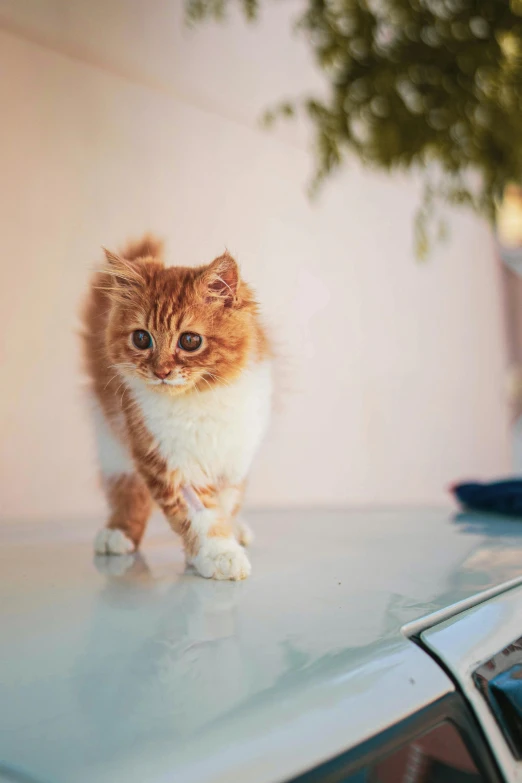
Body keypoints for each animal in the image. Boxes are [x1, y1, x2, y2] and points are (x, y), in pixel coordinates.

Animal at [81, 236, 272, 580]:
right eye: (141, 338)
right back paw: (118, 533)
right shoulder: (166, 456)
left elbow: (226, 503)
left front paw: (219, 542)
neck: (199, 400)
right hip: (112, 437)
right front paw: (219, 553)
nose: (161, 371)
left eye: (190, 341)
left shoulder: (235, 455)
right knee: (126, 487)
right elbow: (200, 514)